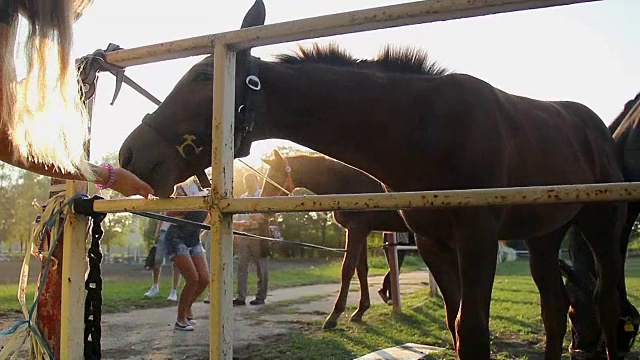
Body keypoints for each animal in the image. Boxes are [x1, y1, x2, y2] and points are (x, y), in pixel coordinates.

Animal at [117, 2, 632, 358]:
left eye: (205, 75)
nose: (129, 154)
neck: (427, 128)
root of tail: (597, 129)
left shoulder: (477, 239)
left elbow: (470, 329)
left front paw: (347, 313)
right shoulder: (429, 242)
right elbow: (448, 318)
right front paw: (356, 310)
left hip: (603, 228)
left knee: (607, 305)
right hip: (545, 237)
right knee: (555, 309)